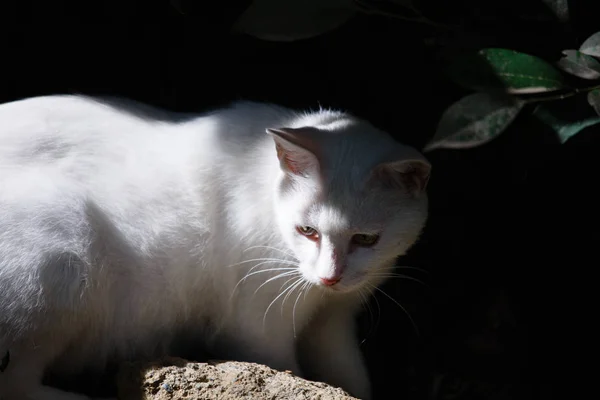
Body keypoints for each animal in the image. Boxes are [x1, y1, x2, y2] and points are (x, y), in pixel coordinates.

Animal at [0, 96, 432, 400]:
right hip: (62, 250)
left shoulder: (333, 321)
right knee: (17, 384)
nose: (330, 277)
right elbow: (287, 367)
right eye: (307, 230)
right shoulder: (257, 327)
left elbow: (351, 377)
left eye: (366, 239)